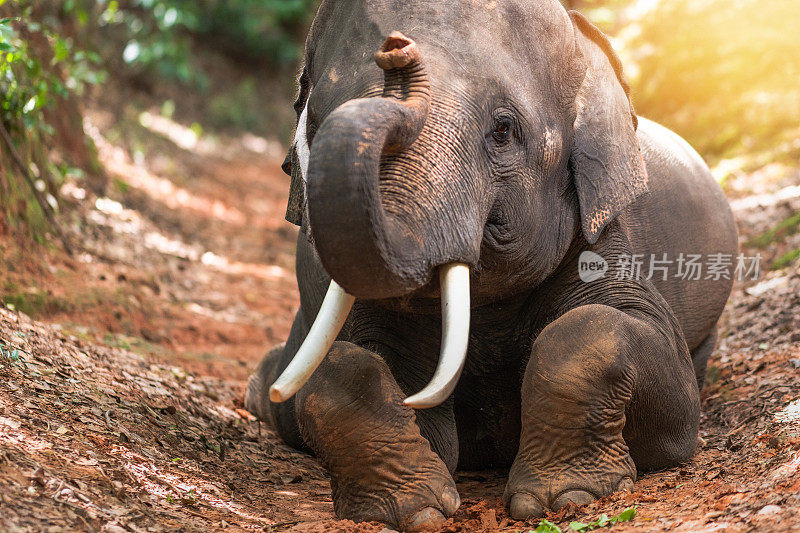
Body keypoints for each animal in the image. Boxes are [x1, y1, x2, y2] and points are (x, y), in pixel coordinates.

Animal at [244, 2, 736, 528]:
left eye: (503, 129)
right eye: (315, 124)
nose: (397, 48)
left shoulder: (603, 237)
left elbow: (631, 353)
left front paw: (566, 498)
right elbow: (343, 368)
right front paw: (416, 511)